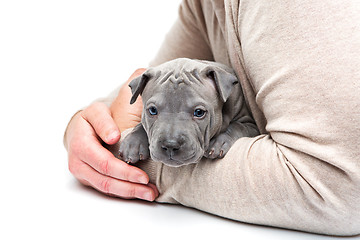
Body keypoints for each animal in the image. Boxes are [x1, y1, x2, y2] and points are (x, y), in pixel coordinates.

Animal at [112, 58, 258, 167]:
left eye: (199, 112)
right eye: (152, 110)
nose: (170, 145)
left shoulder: (251, 125)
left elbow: (237, 126)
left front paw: (219, 142)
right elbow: (141, 125)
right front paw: (133, 143)